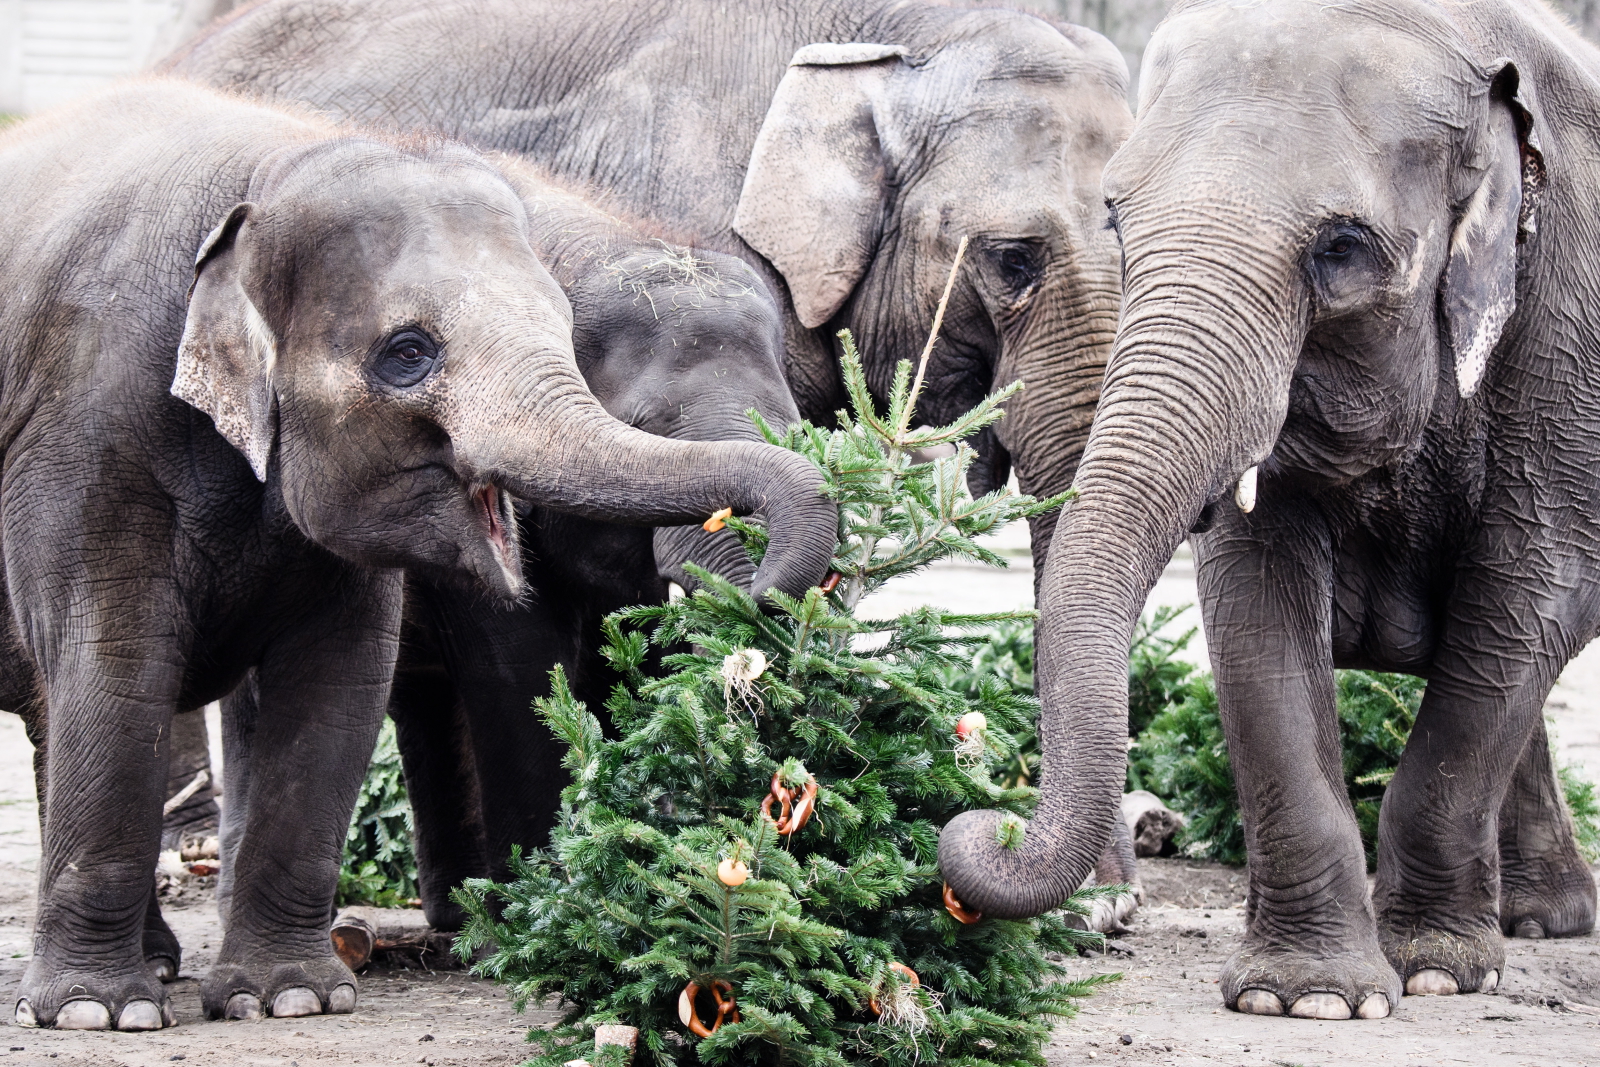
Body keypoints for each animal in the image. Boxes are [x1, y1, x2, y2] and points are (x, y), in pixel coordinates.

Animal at [0, 79, 832, 1030]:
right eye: (408, 354)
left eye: (802, 427)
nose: (763, 598)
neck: (269, 177)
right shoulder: (86, 423)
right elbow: (117, 658)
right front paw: (97, 1013)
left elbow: (338, 678)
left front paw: (289, 998)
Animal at [934, 0, 1600, 1023]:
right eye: (1117, 217)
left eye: (1342, 248)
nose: (983, 825)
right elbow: (1255, 611)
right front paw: (1308, 997)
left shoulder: (1571, 341)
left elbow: (1529, 595)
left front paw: (1435, 972)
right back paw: (1537, 919)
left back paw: (1532, 927)